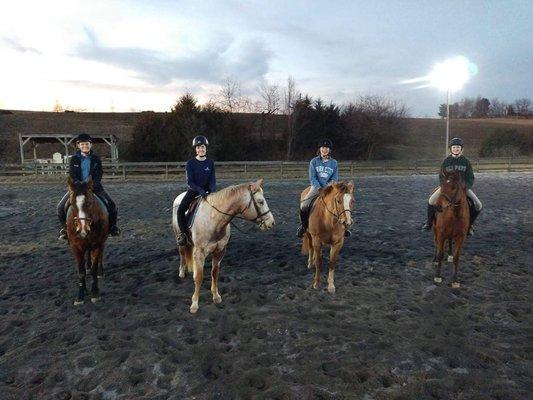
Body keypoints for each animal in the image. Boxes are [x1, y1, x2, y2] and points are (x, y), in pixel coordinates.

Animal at [172, 178, 276, 312]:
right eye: (261, 202)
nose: (271, 222)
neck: (214, 219)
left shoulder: (220, 251)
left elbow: (215, 273)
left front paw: (216, 297)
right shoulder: (199, 252)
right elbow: (199, 277)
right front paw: (194, 304)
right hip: (179, 238)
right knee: (182, 253)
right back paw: (181, 272)